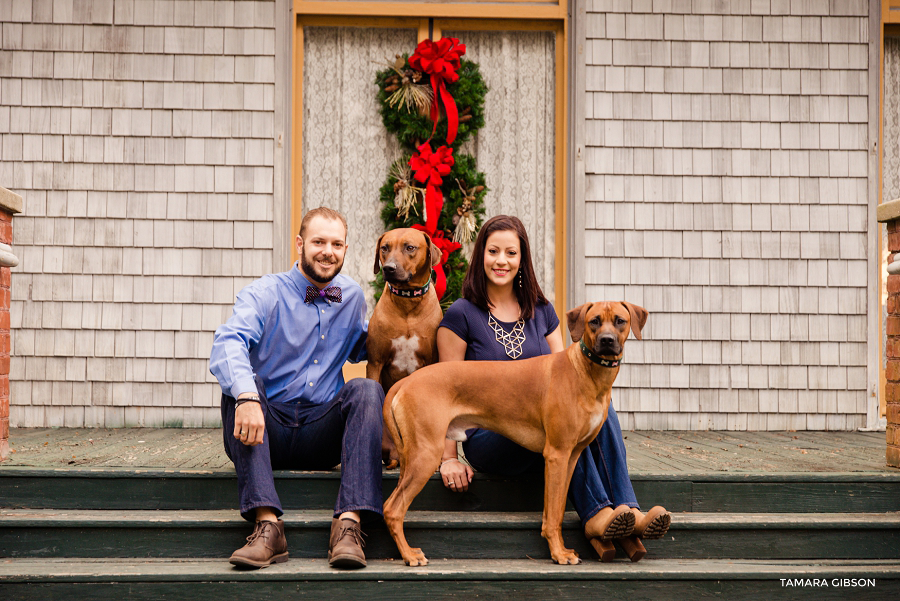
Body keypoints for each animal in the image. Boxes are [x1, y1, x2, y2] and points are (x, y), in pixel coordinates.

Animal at [380, 302, 648, 564]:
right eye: (594, 321)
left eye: (620, 321)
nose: (607, 341)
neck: (586, 372)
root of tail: (406, 381)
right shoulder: (557, 454)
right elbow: (554, 515)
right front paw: (558, 554)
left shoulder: (571, 458)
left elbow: (556, 510)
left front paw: (559, 548)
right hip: (426, 454)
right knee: (392, 508)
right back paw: (409, 555)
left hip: (411, 456)